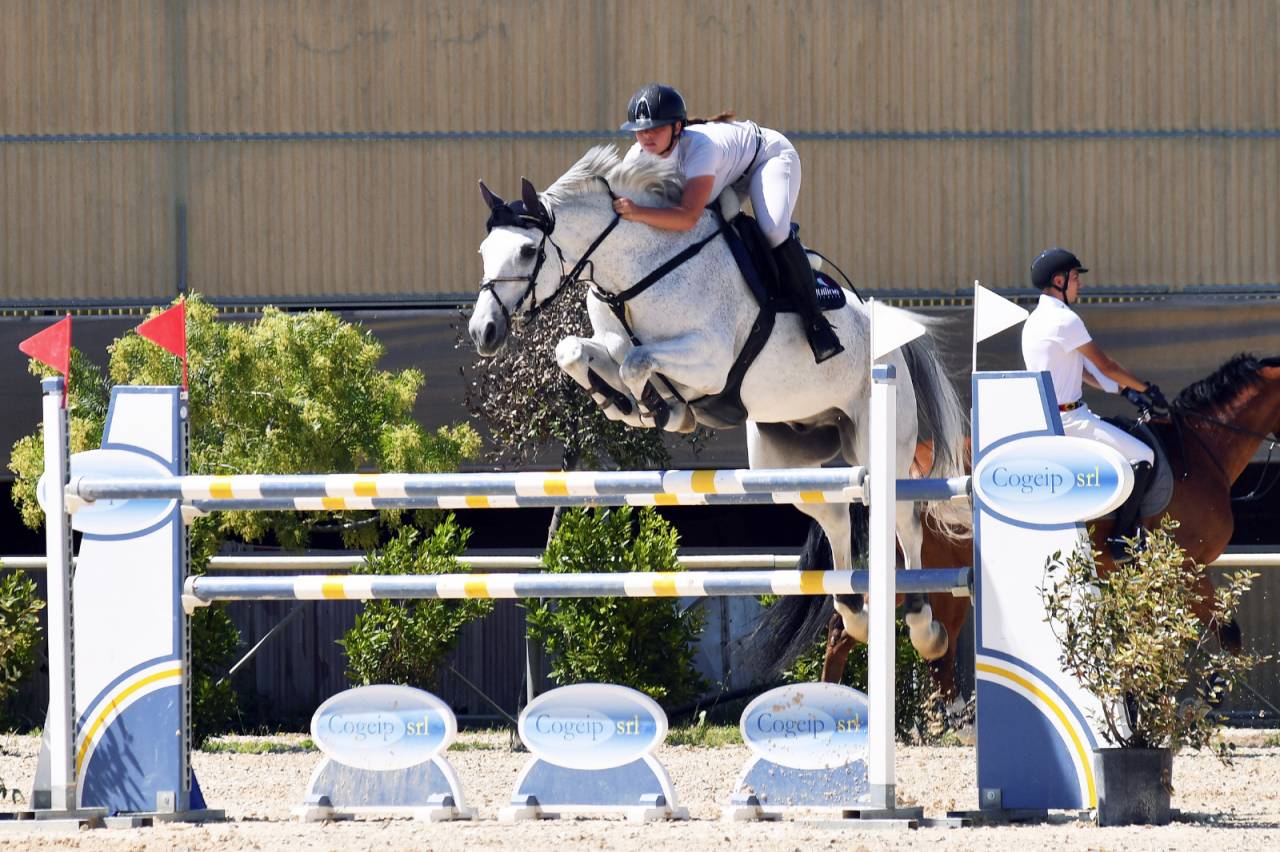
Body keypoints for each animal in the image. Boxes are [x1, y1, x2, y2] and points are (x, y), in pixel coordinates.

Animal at [467, 145, 971, 662]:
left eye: (528, 250)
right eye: (485, 251)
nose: (483, 332)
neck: (639, 272)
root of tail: (891, 330)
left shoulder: (707, 361)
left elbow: (638, 363)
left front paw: (662, 409)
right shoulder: (613, 344)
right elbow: (576, 351)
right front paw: (623, 404)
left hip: (880, 439)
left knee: (905, 520)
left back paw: (923, 625)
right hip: (783, 461)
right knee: (835, 515)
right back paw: (855, 613)